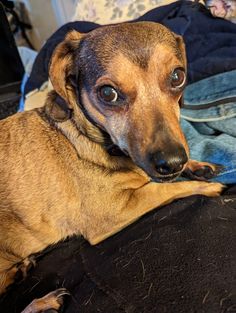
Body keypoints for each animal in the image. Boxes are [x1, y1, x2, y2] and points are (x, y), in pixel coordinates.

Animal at [0, 22, 223, 312]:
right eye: (108, 93)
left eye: (177, 77)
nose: (173, 162)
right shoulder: (113, 211)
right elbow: (161, 189)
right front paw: (206, 187)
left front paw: (198, 165)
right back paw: (41, 303)